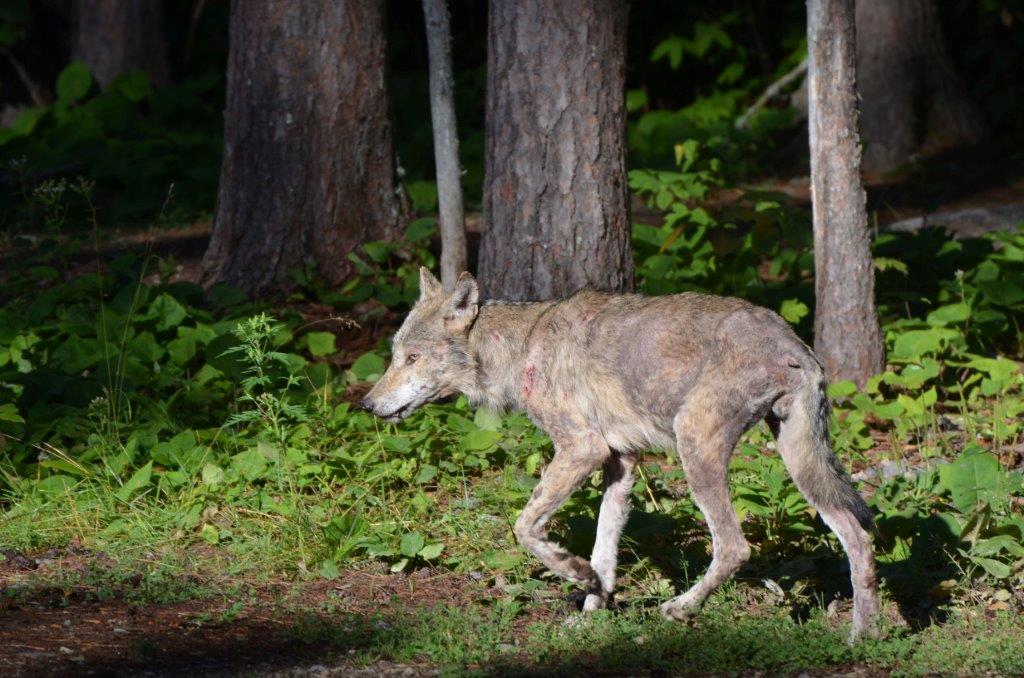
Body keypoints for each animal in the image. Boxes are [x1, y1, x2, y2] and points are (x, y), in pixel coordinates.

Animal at [363, 267, 878, 641]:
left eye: (411, 358)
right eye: (393, 356)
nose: (367, 404)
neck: (523, 348)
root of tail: (792, 342)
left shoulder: (581, 449)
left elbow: (525, 528)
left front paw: (575, 573)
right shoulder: (621, 462)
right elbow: (604, 546)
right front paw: (593, 602)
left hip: (697, 450)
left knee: (735, 546)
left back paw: (680, 609)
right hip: (801, 462)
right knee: (858, 536)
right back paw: (862, 636)